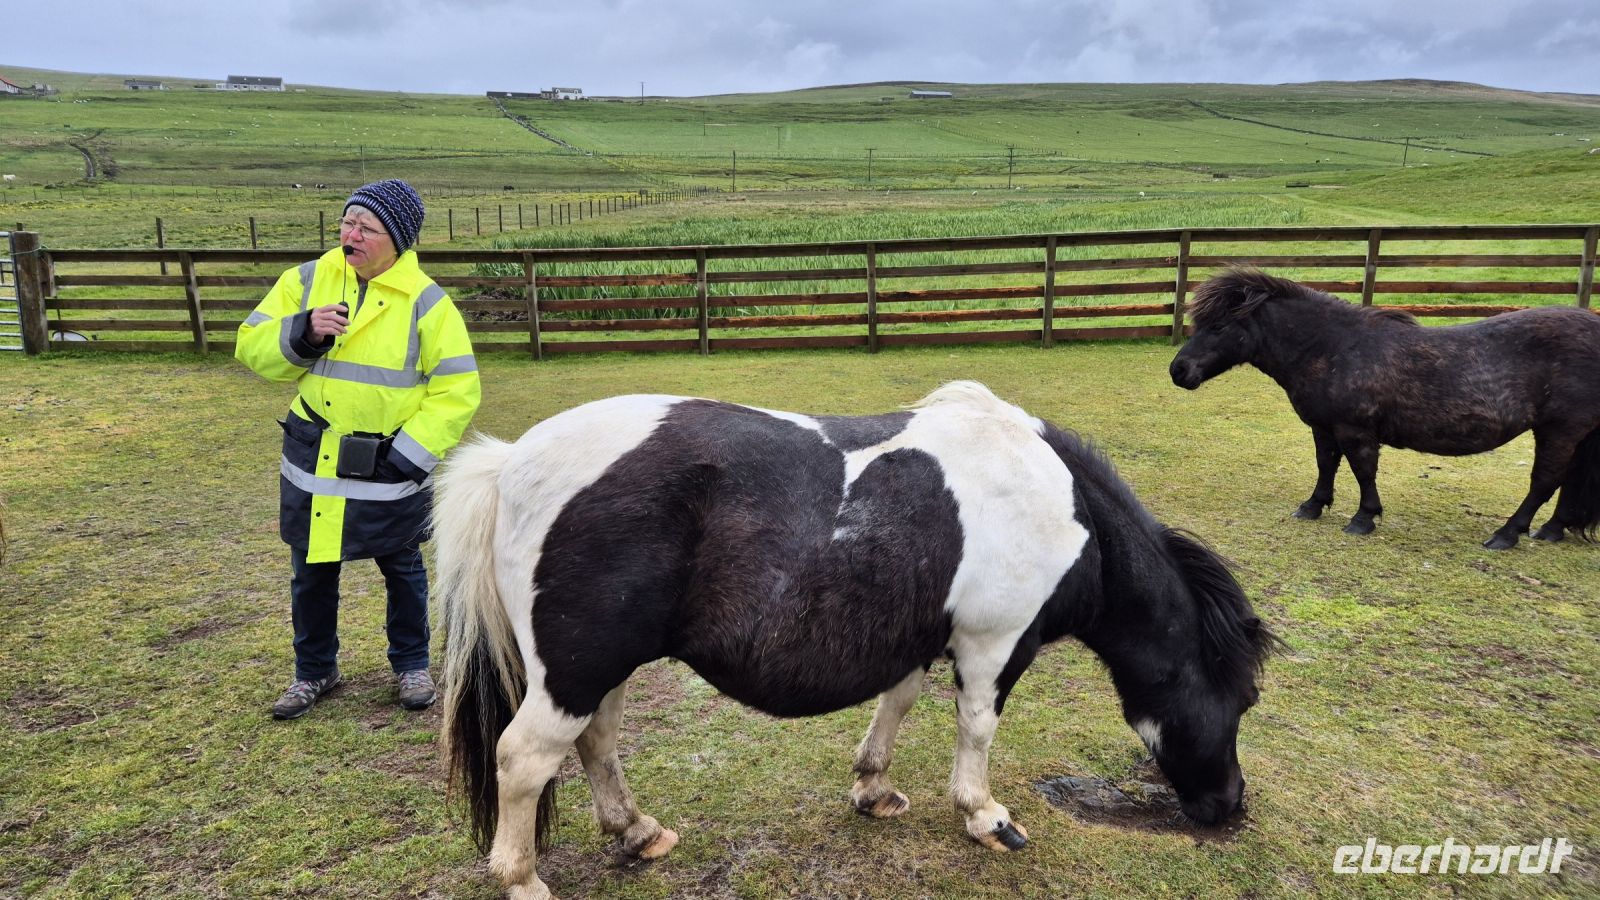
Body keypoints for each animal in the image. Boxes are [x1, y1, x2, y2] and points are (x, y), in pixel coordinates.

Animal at [435, 382, 1274, 900]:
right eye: (1240, 700)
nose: (1228, 804)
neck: (1066, 509)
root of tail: (511, 463)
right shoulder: (995, 642)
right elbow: (977, 729)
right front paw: (985, 816)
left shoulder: (920, 633)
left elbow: (896, 704)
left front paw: (873, 787)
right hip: (575, 670)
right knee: (524, 759)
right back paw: (522, 878)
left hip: (595, 670)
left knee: (596, 741)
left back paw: (637, 832)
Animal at [1170, 269, 1600, 550]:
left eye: (1220, 326)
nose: (1179, 370)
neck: (1331, 347)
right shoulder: (1324, 427)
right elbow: (1326, 464)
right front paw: (1313, 506)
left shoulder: (1355, 429)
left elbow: (1363, 471)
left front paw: (1364, 518)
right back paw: (1553, 530)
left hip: (1560, 429)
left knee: (1544, 481)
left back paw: (1507, 534)